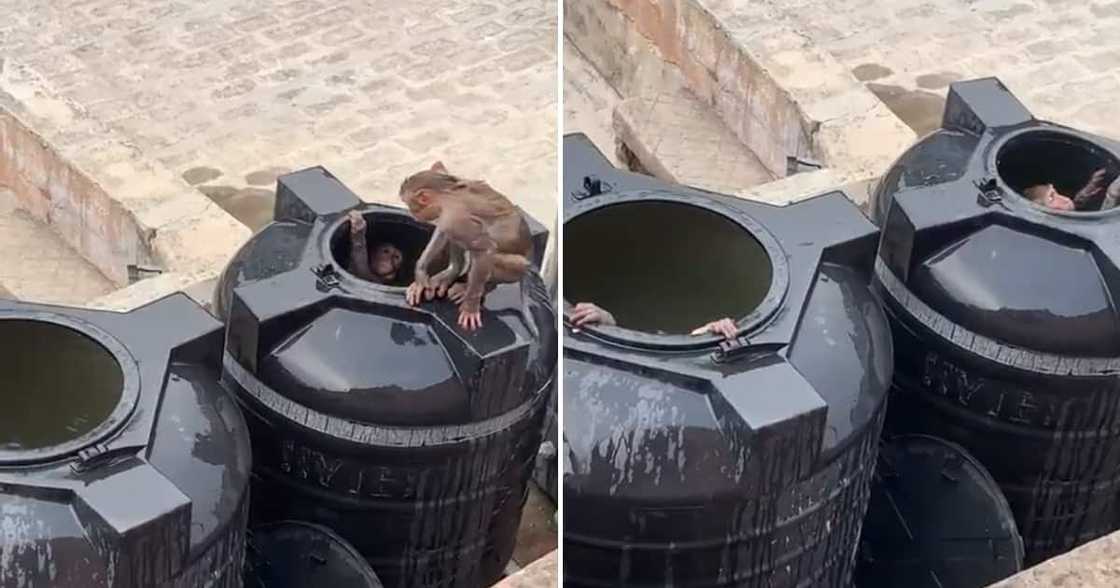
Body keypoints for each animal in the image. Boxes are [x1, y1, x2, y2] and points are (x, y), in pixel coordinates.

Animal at [398, 160, 533, 329]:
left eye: (409, 204)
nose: (412, 213)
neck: (446, 193)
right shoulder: (447, 219)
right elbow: (442, 232)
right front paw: (420, 277)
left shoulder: (456, 219)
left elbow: (486, 249)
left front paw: (470, 308)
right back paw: (451, 274)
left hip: (517, 266)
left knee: (502, 259)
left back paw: (472, 288)